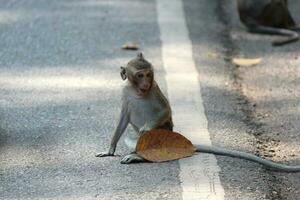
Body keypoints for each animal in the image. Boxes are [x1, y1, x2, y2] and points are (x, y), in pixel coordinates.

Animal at [96, 53, 300, 172]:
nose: (145, 82)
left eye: (148, 74)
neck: (139, 92)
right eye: (140, 75)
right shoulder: (126, 93)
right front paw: (110, 150)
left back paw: (137, 155)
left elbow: (165, 111)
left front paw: (146, 129)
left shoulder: (154, 89)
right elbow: (123, 119)